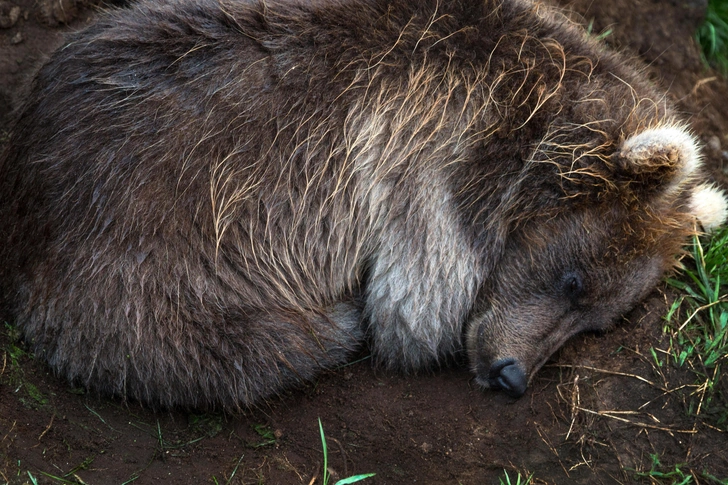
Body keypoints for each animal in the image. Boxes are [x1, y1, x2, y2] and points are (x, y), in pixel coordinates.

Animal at [1, 0, 728, 408]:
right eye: (574, 280)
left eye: (599, 324)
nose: (512, 375)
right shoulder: (427, 165)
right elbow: (414, 307)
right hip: (157, 249)